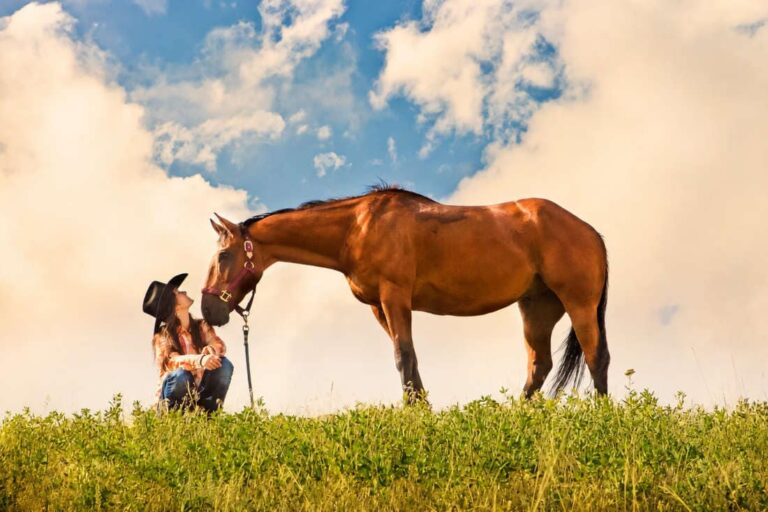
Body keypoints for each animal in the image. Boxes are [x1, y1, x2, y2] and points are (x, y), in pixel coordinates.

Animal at [201, 185, 609, 402]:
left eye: (222, 256)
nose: (208, 309)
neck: (357, 228)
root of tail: (590, 231)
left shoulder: (395, 298)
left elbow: (402, 356)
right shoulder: (379, 307)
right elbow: (410, 358)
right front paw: (421, 407)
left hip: (579, 304)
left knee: (596, 357)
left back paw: (602, 412)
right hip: (538, 308)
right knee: (539, 365)